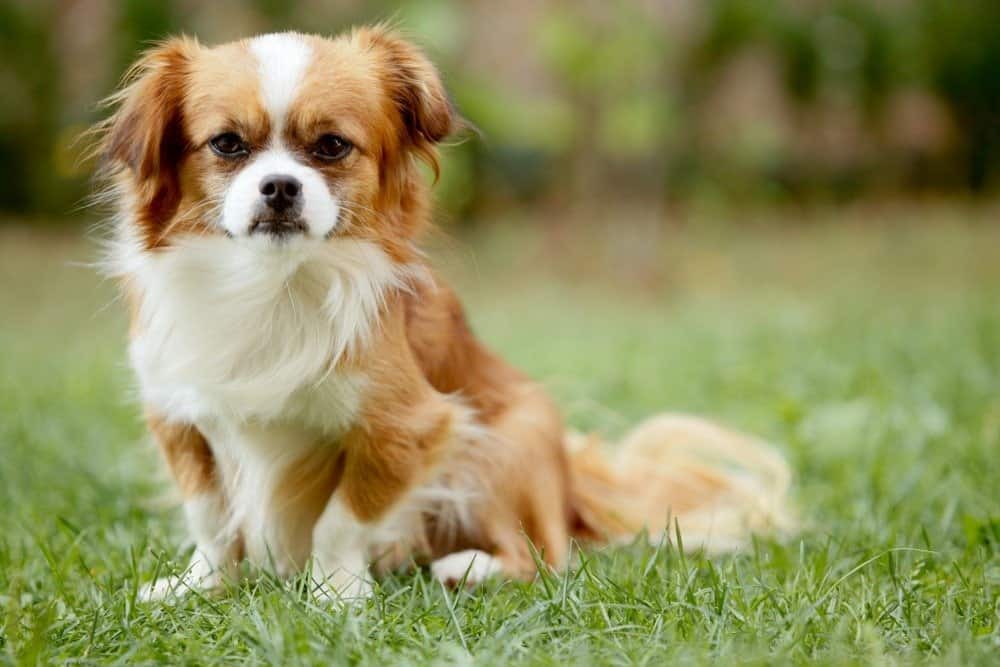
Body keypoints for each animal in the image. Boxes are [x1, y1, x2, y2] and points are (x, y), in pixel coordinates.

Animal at [97, 26, 792, 604]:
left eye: (331, 147)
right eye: (227, 145)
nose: (280, 187)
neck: (273, 286)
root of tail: (571, 484)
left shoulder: (408, 428)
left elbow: (340, 519)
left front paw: (333, 594)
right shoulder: (180, 418)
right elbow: (211, 518)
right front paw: (199, 586)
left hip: (502, 446)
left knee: (545, 557)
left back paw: (468, 566)